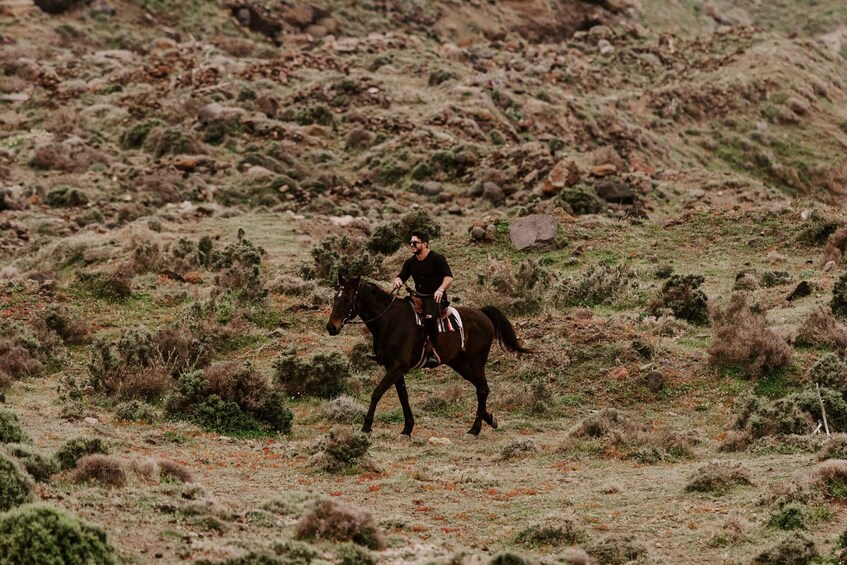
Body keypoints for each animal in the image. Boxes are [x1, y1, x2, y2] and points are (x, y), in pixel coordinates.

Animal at [324, 276, 528, 438]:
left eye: (347, 299)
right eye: (335, 298)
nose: (331, 327)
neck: (390, 321)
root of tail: (482, 313)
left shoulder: (398, 366)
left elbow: (377, 393)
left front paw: (366, 427)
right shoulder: (394, 368)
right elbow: (403, 397)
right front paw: (407, 429)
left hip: (476, 361)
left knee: (482, 389)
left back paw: (474, 430)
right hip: (459, 364)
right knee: (481, 387)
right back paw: (489, 418)